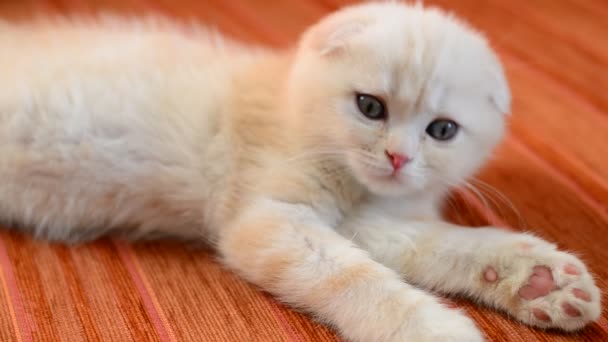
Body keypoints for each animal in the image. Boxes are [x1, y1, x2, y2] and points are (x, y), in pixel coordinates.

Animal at [0, 2, 600, 342]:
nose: (398, 158)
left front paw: (539, 281)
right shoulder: (271, 218)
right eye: (370, 107)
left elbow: (439, 244)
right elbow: (355, 277)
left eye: (442, 130)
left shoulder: (371, 220)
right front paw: (433, 329)